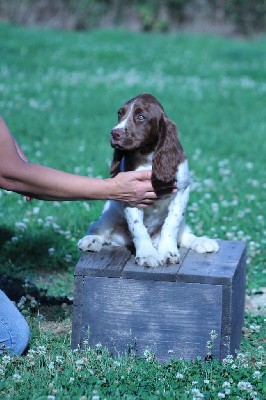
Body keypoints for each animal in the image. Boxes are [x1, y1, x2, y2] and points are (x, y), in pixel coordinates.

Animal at [78, 94, 219, 268]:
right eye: (120, 114)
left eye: (141, 117)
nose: (114, 133)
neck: (147, 156)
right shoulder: (130, 193)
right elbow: (138, 228)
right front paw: (147, 254)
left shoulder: (182, 190)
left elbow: (172, 223)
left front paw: (168, 252)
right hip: (110, 211)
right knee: (98, 228)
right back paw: (91, 240)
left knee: (184, 234)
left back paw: (202, 242)